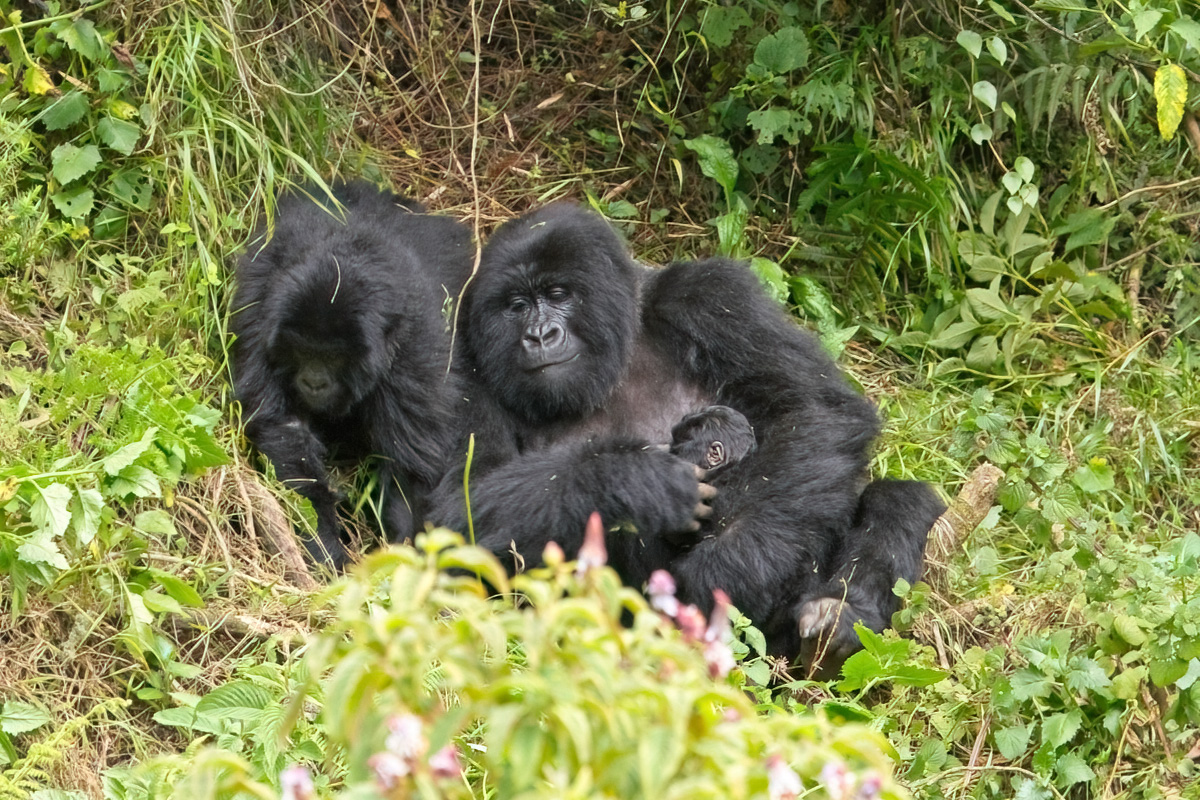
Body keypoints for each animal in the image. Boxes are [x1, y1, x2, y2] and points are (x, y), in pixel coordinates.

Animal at [432, 203, 945, 666]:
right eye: (517, 306)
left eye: (559, 294)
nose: (538, 335)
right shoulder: (463, 360)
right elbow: (459, 515)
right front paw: (635, 479)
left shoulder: (708, 294)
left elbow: (814, 410)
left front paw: (741, 559)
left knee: (897, 498)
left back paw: (838, 620)